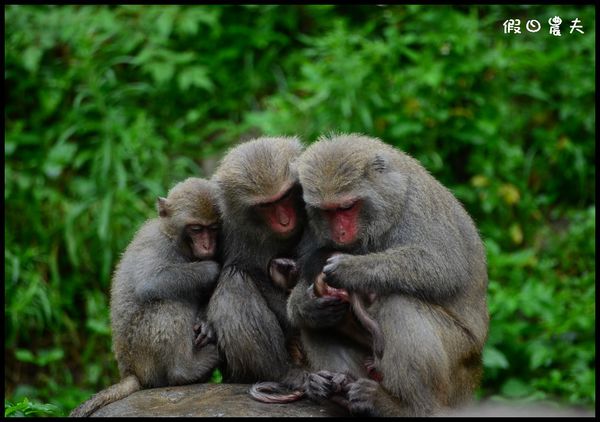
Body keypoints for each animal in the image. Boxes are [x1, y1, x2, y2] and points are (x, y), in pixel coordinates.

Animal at [69, 176, 221, 418]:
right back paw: (184, 371)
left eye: (213, 228)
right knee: (169, 301)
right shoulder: (158, 244)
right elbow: (149, 281)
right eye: (197, 229)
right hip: (143, 352)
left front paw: (206, 323)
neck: (174, 239)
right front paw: (210, 269)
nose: (207, 246)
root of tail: (130, 371)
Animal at [206, 137, 310, 390]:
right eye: (265, 206)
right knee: (234, 280)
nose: (285, 220)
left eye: (285, 196)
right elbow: (250, 271)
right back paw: (283, 373)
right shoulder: (231, 228)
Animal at [284, 134, 488, 416]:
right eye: (327, 211)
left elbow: (442, 266)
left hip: (458, 365)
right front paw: (307, 305)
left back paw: (407, 406)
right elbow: (305, 286)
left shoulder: (415, 206)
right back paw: (334, 387)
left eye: (347, 207)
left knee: (400, 306)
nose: (340, 234)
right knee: (318, 324)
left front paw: (352, 270)